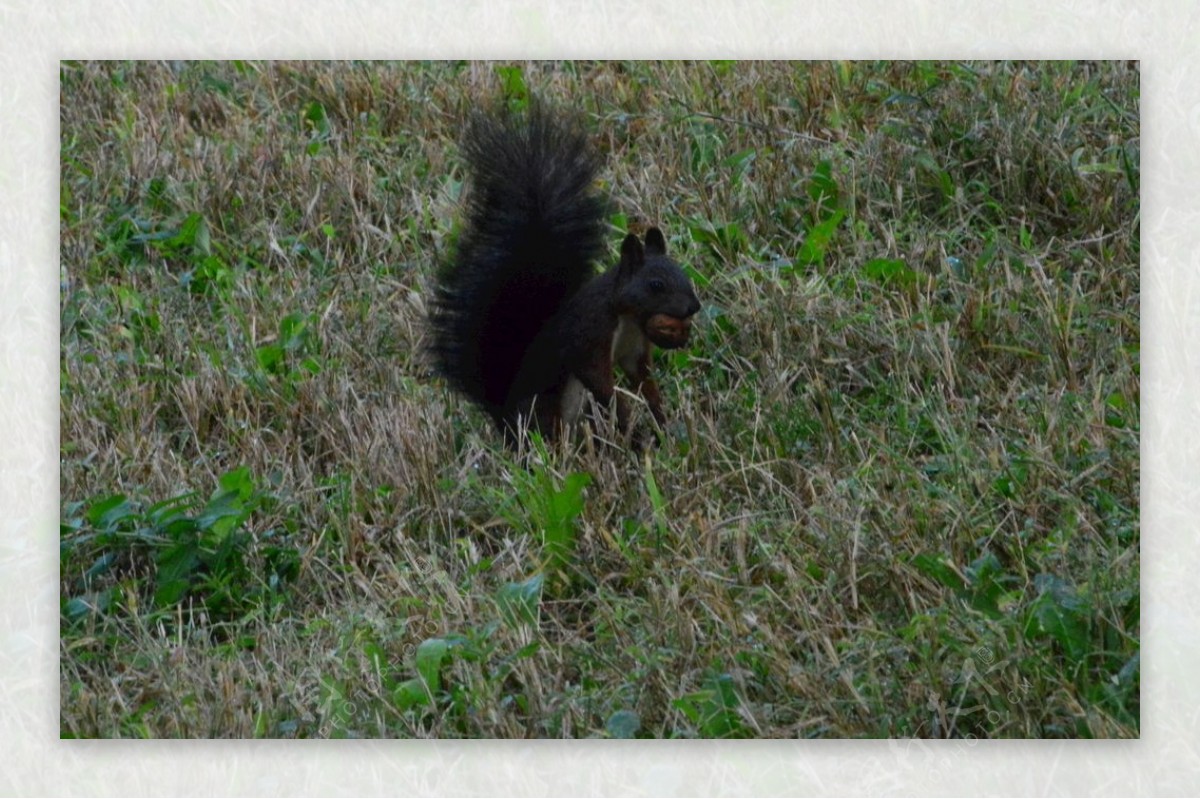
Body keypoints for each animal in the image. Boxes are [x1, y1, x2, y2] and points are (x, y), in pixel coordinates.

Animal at [429, 100, 700, 443]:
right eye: (656, 285)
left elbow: (642, 377)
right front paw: (625, 412)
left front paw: (659, 416)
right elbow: (596, 378)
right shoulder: (589, 334)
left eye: (683, 273)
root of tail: (505, 422)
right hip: (547, 410)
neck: (627, 317)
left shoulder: (635, 348)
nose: (694, 306)